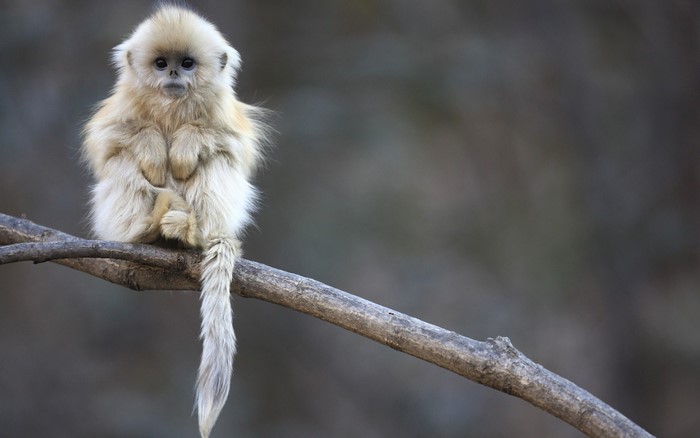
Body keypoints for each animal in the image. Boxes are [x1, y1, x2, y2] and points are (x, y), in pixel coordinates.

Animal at [81, 5, 267, 437]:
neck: (172, 107)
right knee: (122, 161)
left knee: (217, 161)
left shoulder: (225, 114)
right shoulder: (120, 109)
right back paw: (145, 231)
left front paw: (183, 147)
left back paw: (189, 232)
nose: (173, 77)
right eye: (161, 63)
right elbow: (108, 141)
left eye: (187, 63)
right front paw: (152, 148)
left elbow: (232, 145)